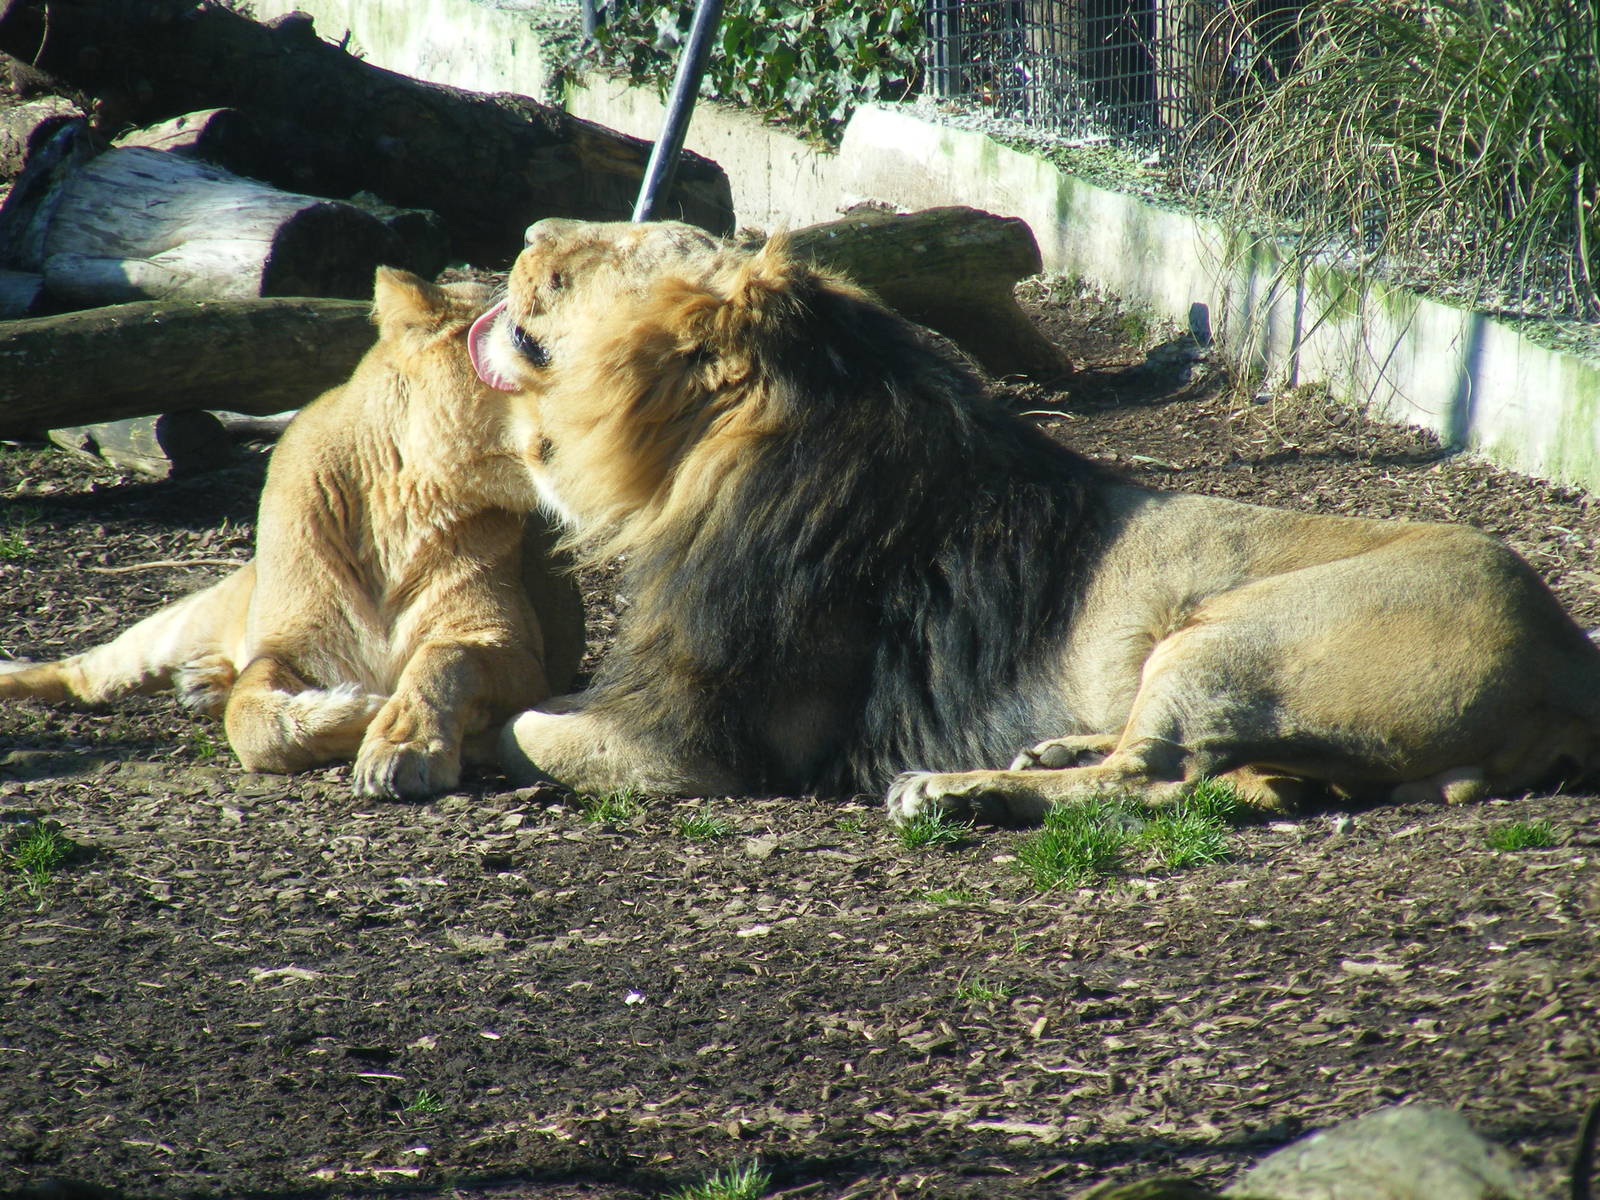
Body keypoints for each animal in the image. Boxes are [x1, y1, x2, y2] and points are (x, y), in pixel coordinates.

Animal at [1, 267, 584, 800]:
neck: (409, 504)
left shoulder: (517, 655)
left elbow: (443, 660)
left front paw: (403, 744)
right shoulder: (288, 652)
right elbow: (251, 718)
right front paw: (364, 708)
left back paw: (201, 685)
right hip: (182, 623)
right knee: (84, 672)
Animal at [473, 217, 1600, 824]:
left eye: (575, 266)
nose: (523, 237)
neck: (699, 455)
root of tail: (1568, 660)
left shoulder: (703, 743)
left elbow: (522, 727)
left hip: (1227, 636)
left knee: (1152, 777)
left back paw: (953, 793)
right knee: (1197, 778)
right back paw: (1045, 754)